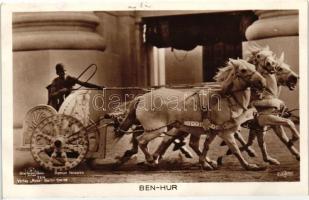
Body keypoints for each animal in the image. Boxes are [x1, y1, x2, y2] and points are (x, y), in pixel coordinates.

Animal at [115, 59, 264, 170]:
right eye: (243, 70)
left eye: (253, 66)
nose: (262, 82)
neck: (225, 98)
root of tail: (142, 98)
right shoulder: (226, 133)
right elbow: (235, 149)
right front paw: (248, 165)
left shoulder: (212, 131)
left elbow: (205, 146)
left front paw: (206, 163)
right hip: (157, 130)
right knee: (141, 141)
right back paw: (151, 159)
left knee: (141, 140)